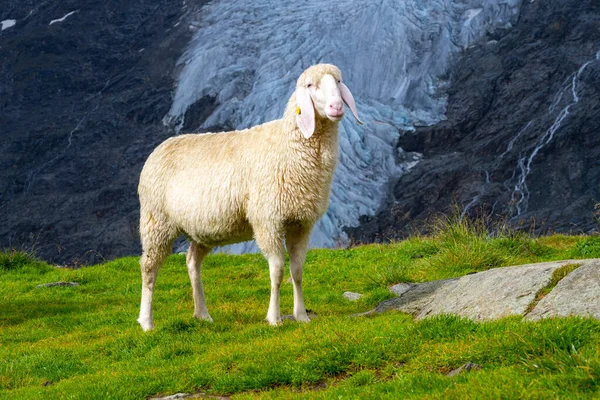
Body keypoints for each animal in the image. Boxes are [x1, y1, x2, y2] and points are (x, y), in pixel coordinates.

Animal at [137, 63, 360, 332]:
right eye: (310, 85)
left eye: (338, 81)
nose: (336, 107)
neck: (289, 147)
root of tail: (159, 148)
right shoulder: (268, 220)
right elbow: (277, 271)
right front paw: (274, 318)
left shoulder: (301, 223)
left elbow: (297, 270)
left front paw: (301, 316)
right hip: (156, 221)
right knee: (149, 268)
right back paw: (146, 321)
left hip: (201, 229)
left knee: (192, 262)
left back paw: (202, 314)